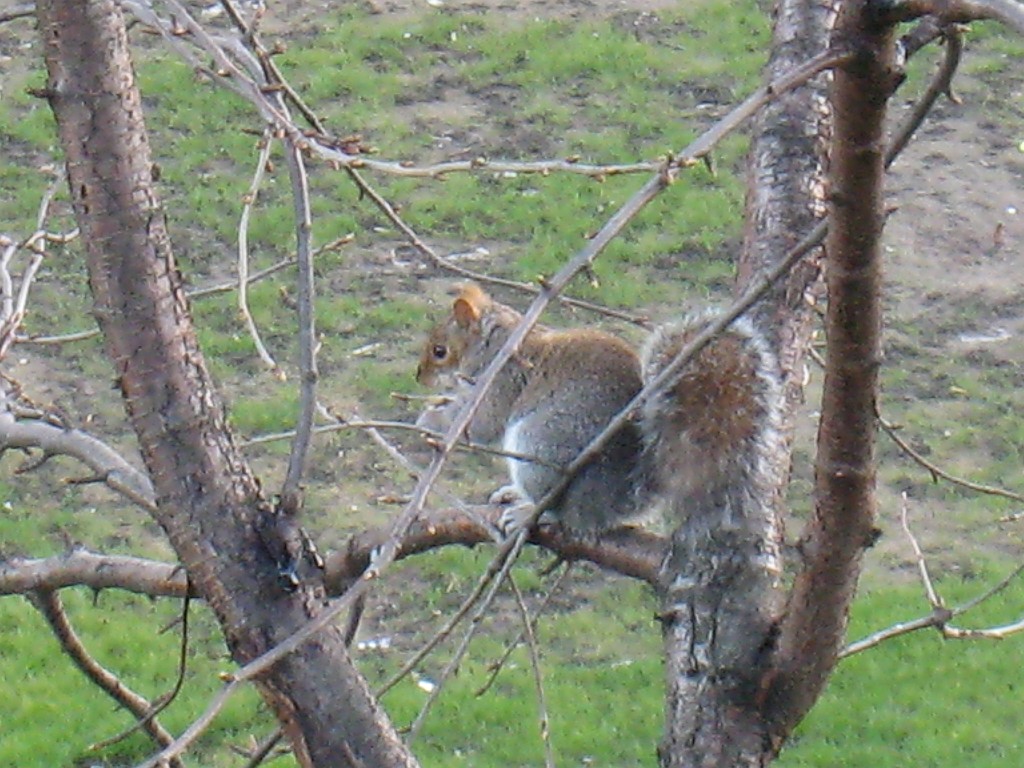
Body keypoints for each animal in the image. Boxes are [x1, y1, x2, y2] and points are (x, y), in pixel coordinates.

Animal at [415, 282, 783, 538]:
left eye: (439, 351)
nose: (420, 378)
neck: (499, 342)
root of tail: (612, 503)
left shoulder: (503, 381)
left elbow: (481, 425)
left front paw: (432, 419)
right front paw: (438, 406)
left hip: (540, 443)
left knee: (559, 511)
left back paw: (530, 512)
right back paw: (512, 494)